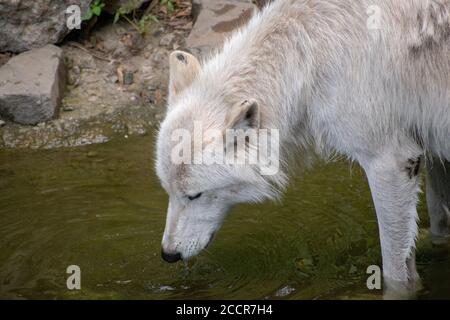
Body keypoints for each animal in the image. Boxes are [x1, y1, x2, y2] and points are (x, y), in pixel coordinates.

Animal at [156, 0, 450, 298]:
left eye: (194, 195)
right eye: (168, 191)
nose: (168, 255)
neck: (308, 58)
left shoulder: (389, 161)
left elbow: (395, 272)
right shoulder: (430, 147)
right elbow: (439, 222)